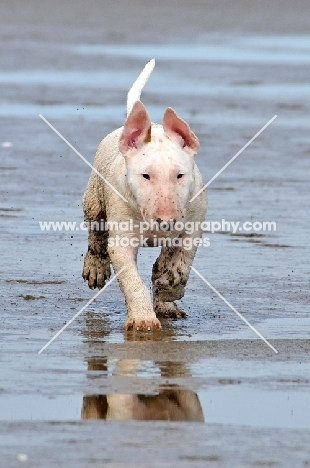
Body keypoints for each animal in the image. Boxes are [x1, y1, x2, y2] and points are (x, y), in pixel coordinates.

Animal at [83, 59, 207, 330]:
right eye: (145, 176)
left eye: (180, 175)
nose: (165, 221)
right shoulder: (121, 237)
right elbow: (131, 279)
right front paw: (143, 320)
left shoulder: (194, 222)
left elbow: (182, 262)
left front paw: (169, 288)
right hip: (94, 195)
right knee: (95, 229)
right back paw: (96, 267)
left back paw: (166, 303)